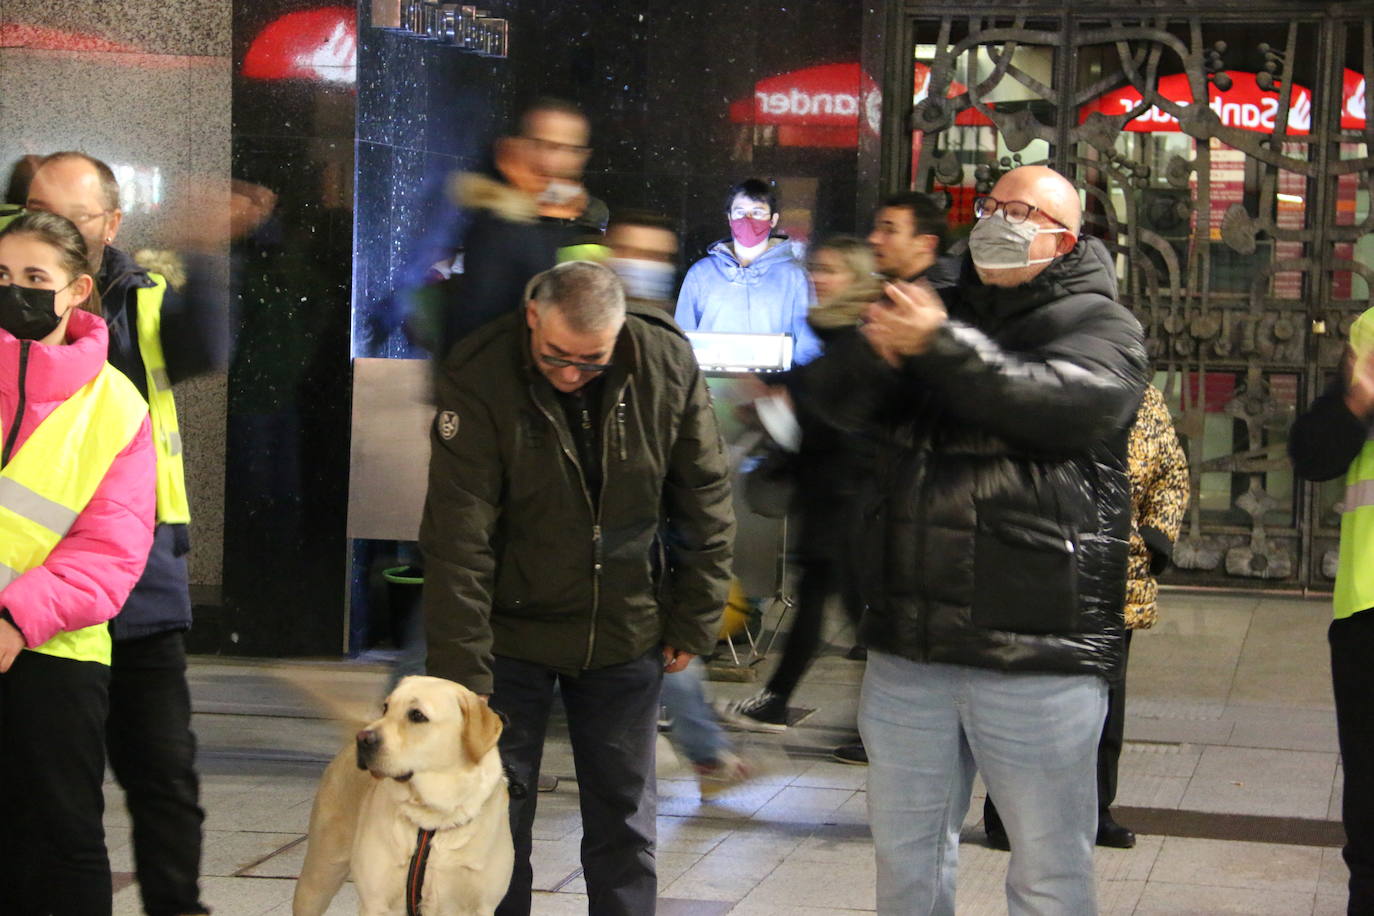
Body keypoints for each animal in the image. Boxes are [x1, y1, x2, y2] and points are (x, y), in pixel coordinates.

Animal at [295, 672, 516, 916]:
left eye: (417, 715)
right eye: (386, 708)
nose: (362, 739)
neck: (433, 817)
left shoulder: (481, 905)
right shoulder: (375, 902)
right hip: (319, 875)